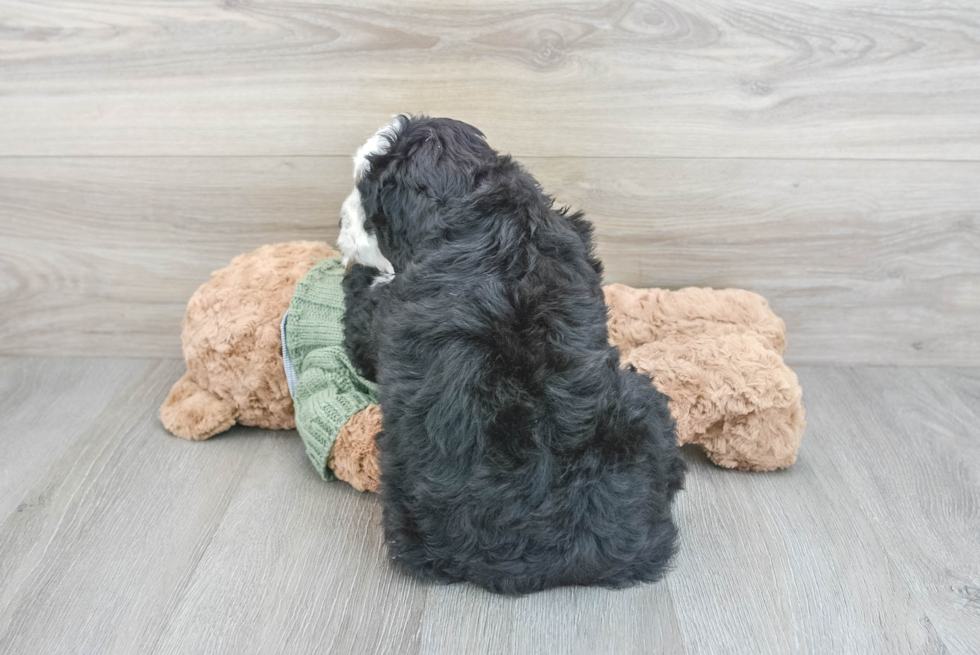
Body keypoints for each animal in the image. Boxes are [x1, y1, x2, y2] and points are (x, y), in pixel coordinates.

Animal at [336, 116, 680, 596]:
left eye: (366, 201)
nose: (339, 221)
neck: (472, 199)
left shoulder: (379, 323)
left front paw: (357, 274)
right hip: (645, 404)